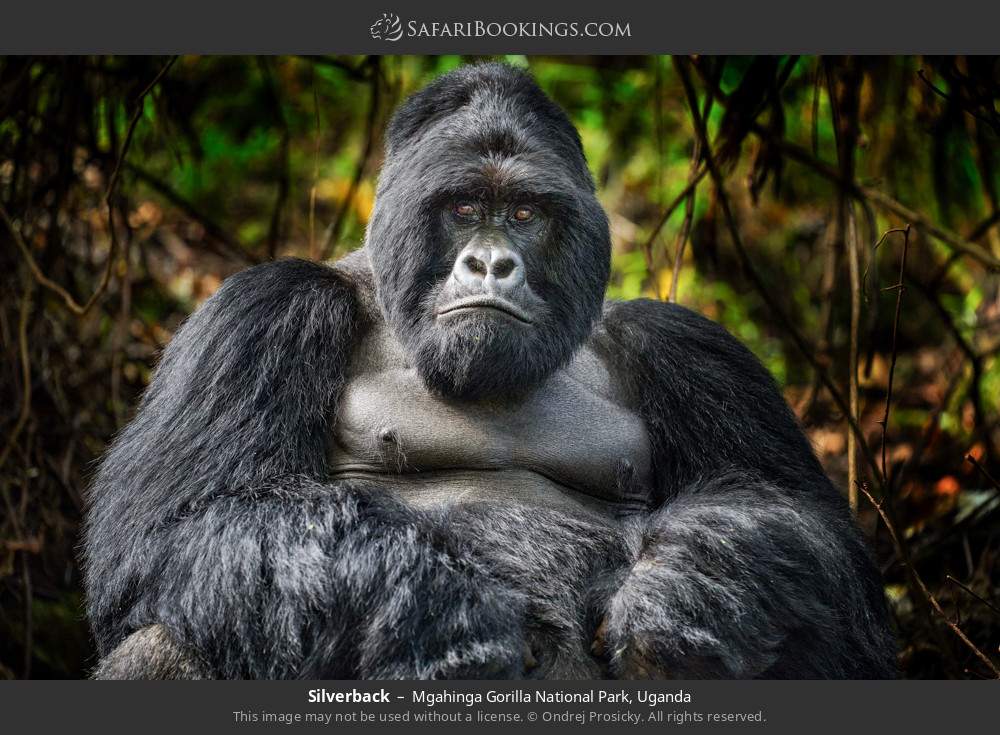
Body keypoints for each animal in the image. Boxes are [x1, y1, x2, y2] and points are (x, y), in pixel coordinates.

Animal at [84, 63, 900, 680]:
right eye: (465, 206)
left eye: (526, 215)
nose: (490, 263)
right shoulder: (262, 312)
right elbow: (177, 529)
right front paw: (435, 611)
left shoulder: (686, 344)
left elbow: (812, 530)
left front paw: (687, 593)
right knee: (173, 635)